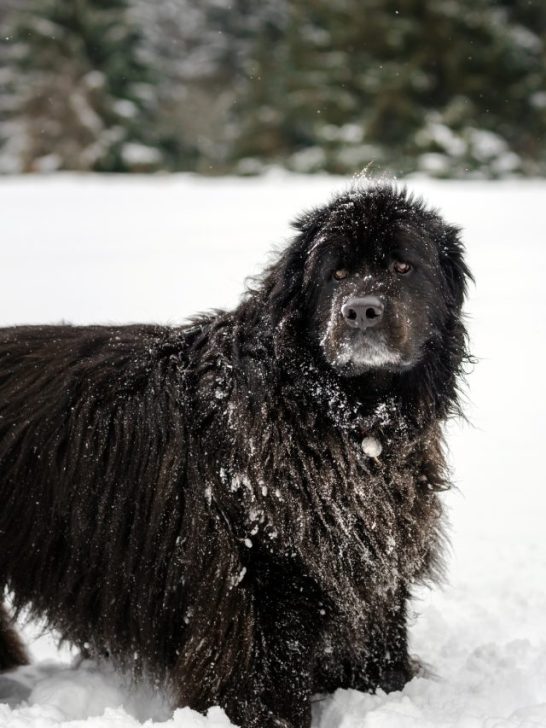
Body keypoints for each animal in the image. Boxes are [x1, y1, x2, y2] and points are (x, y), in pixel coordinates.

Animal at [0, 185, 468, 724]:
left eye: (402, 266)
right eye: (337, 273)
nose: (361, 310)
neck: (332, 414)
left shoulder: (376, 557)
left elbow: (382, 638)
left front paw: (386, 693)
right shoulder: (264, 572)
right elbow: (269, 676)